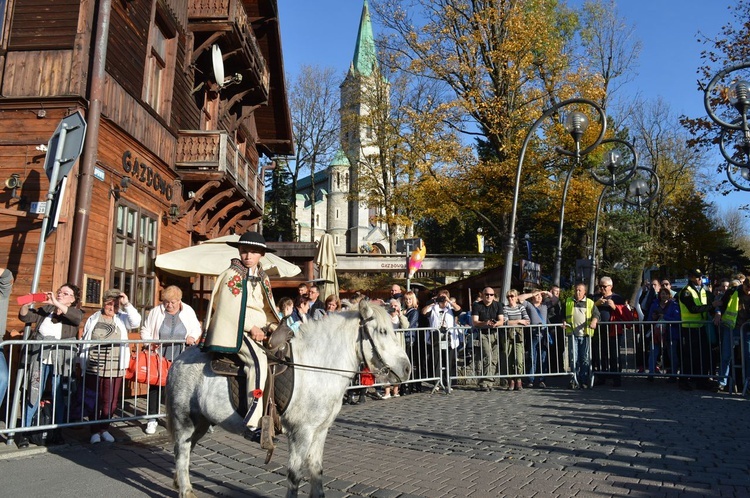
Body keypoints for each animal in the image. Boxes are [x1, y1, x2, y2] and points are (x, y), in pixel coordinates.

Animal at [166, 300, 412, 498]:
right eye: (382, 331)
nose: (407, 368)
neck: (317, 365)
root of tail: (178, 360)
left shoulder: (320, 431)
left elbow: (316, 469)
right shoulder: (301, 432)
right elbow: (295, 475)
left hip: (201, 422)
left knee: (184, 451)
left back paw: (179, 482)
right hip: (185, 421)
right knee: (182, 451)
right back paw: (185, 490)